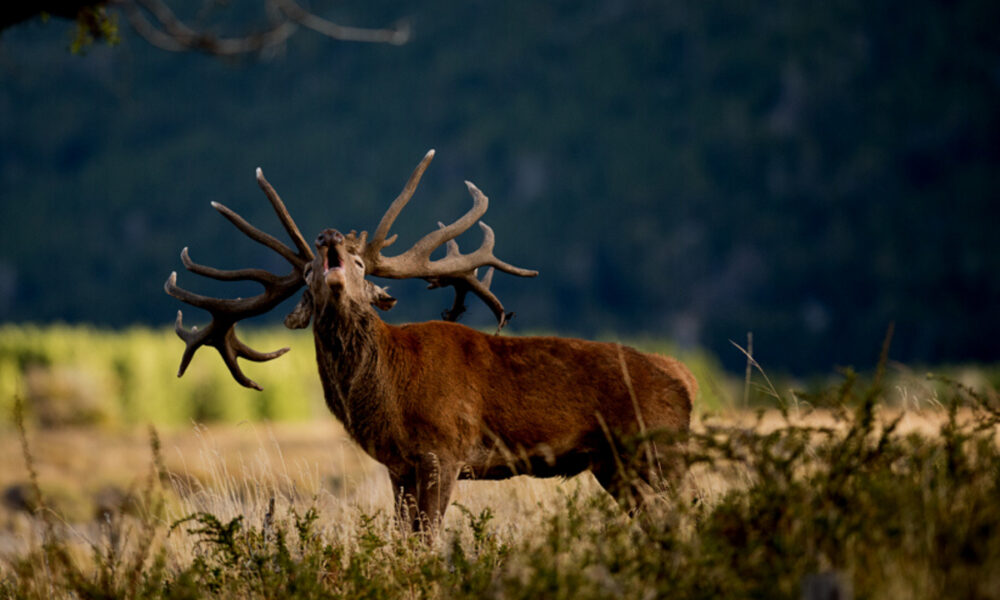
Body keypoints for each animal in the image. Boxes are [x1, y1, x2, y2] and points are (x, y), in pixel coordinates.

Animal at [165, 150, 696, 534]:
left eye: (361, 263)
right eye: (312, 270)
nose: (329, 235)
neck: (389, 397)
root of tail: (685, 378)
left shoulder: (445, 449)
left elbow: (428, 538)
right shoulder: (398, 466)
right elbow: (404, 536)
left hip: (657, 447)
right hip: (615, 464)